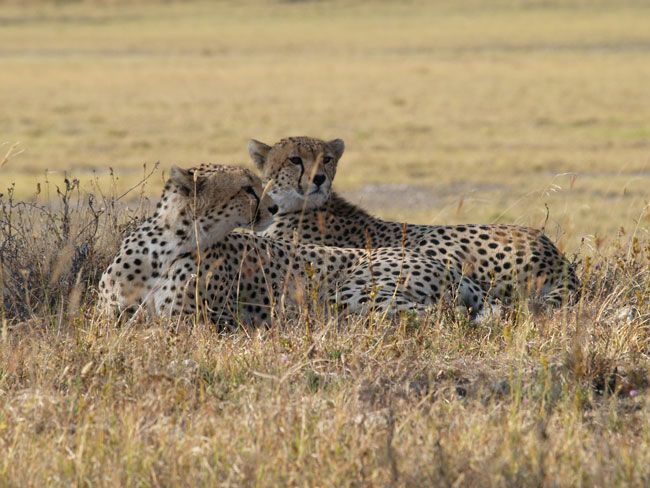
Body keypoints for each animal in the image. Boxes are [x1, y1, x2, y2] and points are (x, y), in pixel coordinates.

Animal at [98, 164, 488, 328]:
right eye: (247, 187)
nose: (273, 207)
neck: (169, 246)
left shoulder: (194, 324)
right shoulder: (108, 318)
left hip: (352, 293)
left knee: (442, 316)